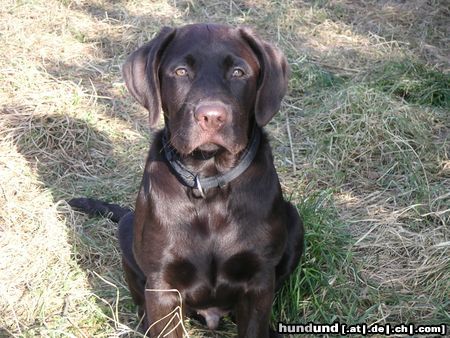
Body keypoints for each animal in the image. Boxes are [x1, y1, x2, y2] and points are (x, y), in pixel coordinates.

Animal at [69, 23, 302, 338]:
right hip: (128, 232)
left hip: (294, 220)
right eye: (180, 72)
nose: (212, 117)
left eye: (238, 72)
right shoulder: (163, 287)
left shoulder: (258, 281)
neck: (209, 180)